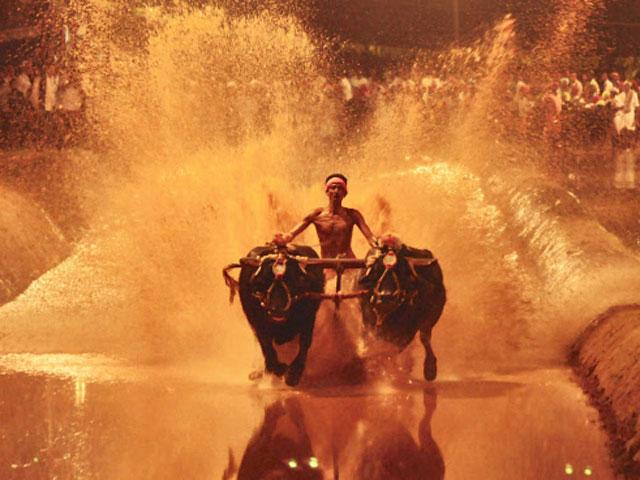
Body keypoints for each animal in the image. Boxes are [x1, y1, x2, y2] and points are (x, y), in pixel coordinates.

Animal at [236, 244, 324, 386]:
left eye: (292, 281)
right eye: (264, 282)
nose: (277, 310)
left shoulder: (309, 319)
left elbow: (304, 343)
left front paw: (293, 374)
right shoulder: (258, 323)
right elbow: (266, 345)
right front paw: (278, 368)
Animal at [360, 237, 444, 382]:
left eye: (401, 270)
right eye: (377, 269)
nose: (386, 296)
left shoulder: (410, 327)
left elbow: (395, 346)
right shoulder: (369, 321)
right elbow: (373, 341)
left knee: (425, 336)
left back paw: (428, 368)